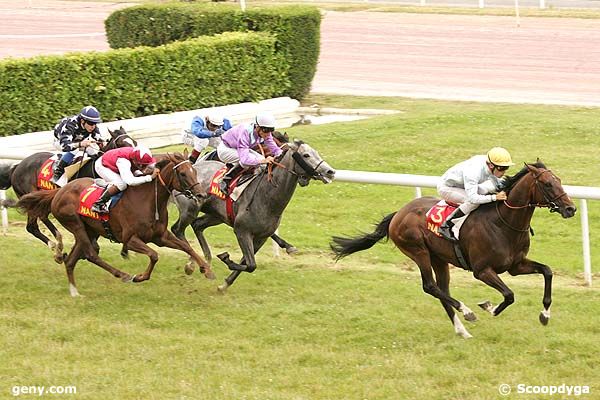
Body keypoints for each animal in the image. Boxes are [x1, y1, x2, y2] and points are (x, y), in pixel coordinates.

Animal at [1, 127, 135, 253]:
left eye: (133, 142)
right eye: (122, 144)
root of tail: (16, 167)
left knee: (42, 216)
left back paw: (58, 242)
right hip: (30, 195)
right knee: (32, 226)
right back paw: (54, 247)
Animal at [17, 152, 216, 296]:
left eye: (195, 172)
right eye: (183, 174)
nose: (201, 195)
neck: (148, 201)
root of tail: (59, 191)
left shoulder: (161, 236)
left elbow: (186, 247)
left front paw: (206, 270)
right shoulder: (130, 239)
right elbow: (154, 255)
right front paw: (140, 276)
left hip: (90, 230)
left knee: (72, 260)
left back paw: (74, 292)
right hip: (75, 224)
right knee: (91, 254)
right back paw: (124, 275)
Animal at [171, 139, 336, 292]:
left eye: (316, 152)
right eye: (306, 155)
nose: (330, 171)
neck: (266, 196)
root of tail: (186, 169)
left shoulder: (261, 237)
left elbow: (247, 263)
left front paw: (224, 285)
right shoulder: (242, 231)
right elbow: (251, 265)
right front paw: (225, 258)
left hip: (216, 216)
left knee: (197, 225)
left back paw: (203, 261)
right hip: (190, 210)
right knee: (177, 230)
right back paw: (192, 264)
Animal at [332, 162, 576, 338]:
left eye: (559, 180)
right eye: (547, 184)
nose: (571, 209)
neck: (504, 223)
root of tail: (398, 214)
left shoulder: (515, 265)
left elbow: (547, 271)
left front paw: (544, 315)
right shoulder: (482, 270)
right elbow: (509, 295)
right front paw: (489, 307)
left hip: (439, 258)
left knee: (443, 291)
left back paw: (462, 330)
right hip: (418, 251)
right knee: (430, 287)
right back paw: (467, 312)